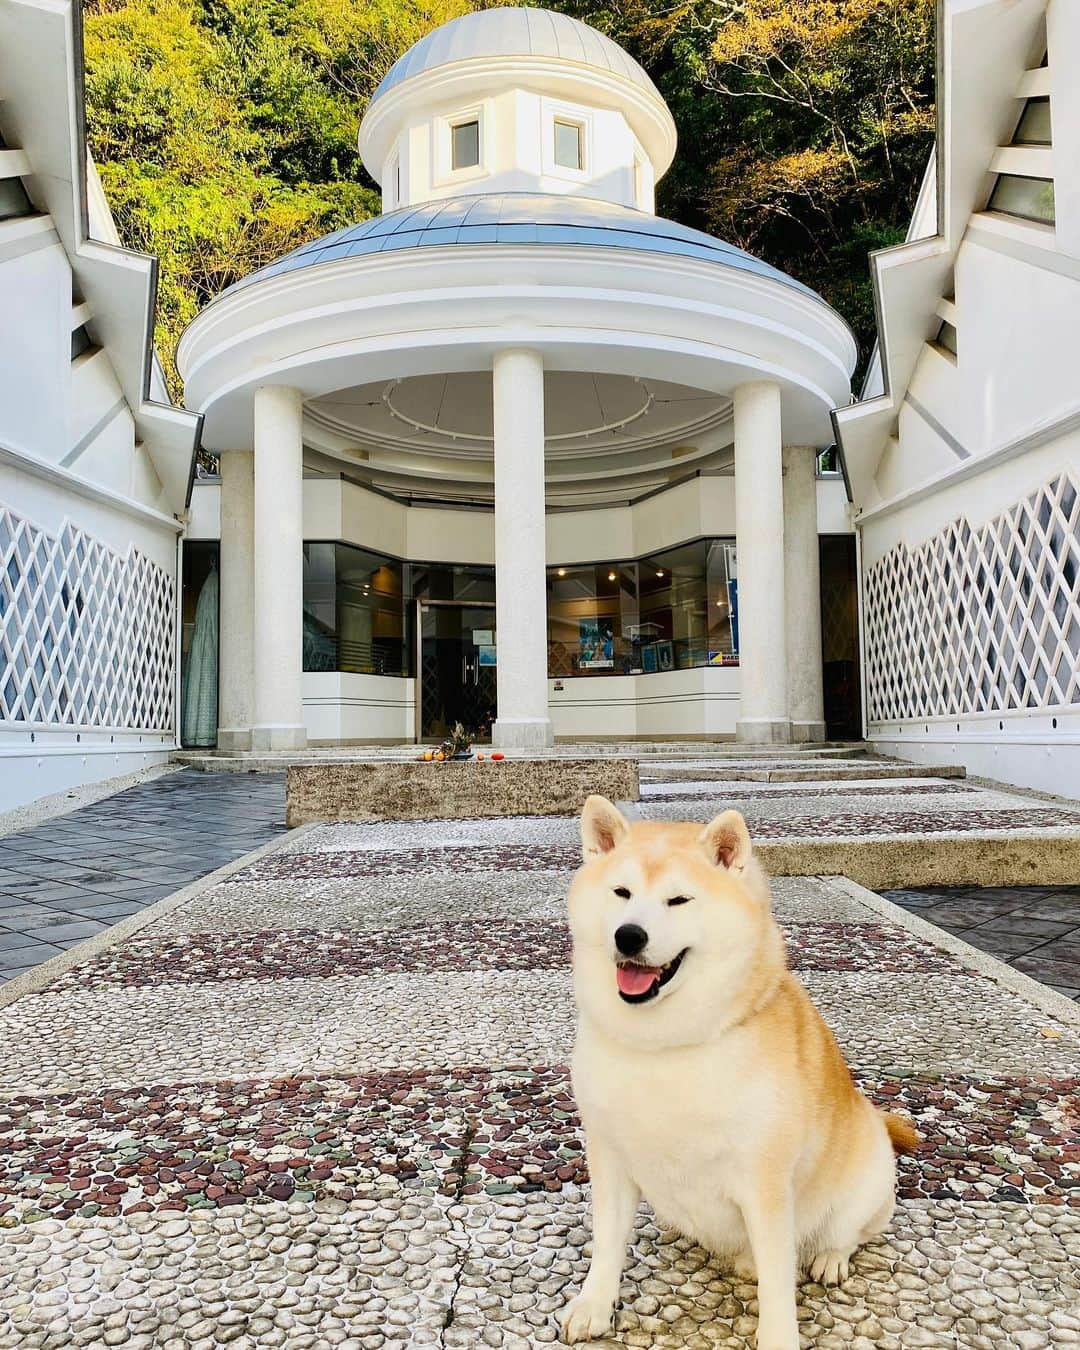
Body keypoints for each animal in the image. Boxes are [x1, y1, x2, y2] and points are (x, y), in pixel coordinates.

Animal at [561, 793, 918, 1344]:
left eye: (679, 900)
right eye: (621, 892)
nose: (628, 935)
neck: (666, 1045)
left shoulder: (764, 1182)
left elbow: (777, 1281)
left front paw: (778, 1339)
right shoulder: (611, 1155)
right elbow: (607, 1242)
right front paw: (596, 1304)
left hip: (867, 1181)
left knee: (846, 1233)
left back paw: (830, 1258)